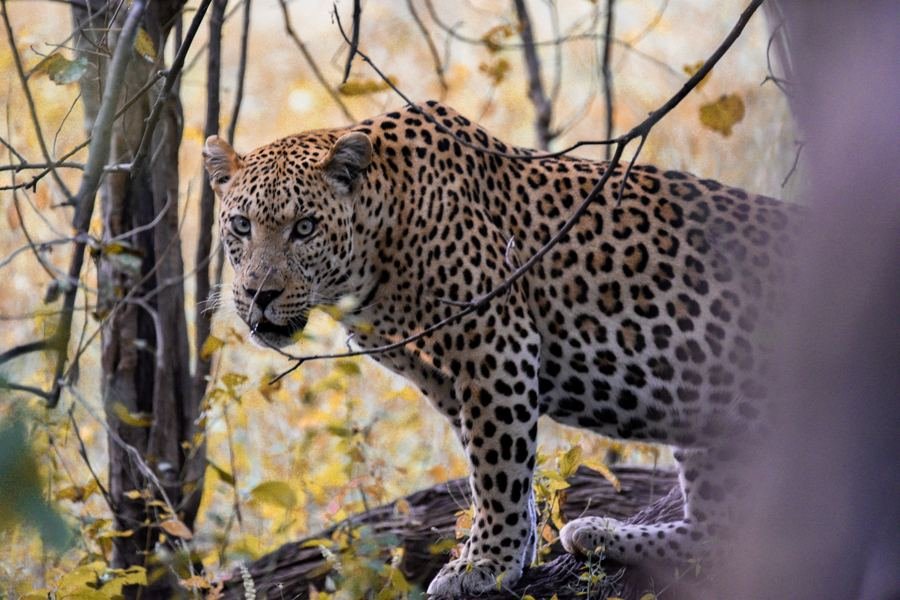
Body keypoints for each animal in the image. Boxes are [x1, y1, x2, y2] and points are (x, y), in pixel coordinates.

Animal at [203, 100, 798, 597]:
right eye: (241, 225)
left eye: (304, 227)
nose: (258, 294)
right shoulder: (441, 373)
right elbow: (496, 463)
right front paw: (512, 549)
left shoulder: (493, 338)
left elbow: (497, 464)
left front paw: (485, 562)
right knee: (721, 536)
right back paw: (602, 533)